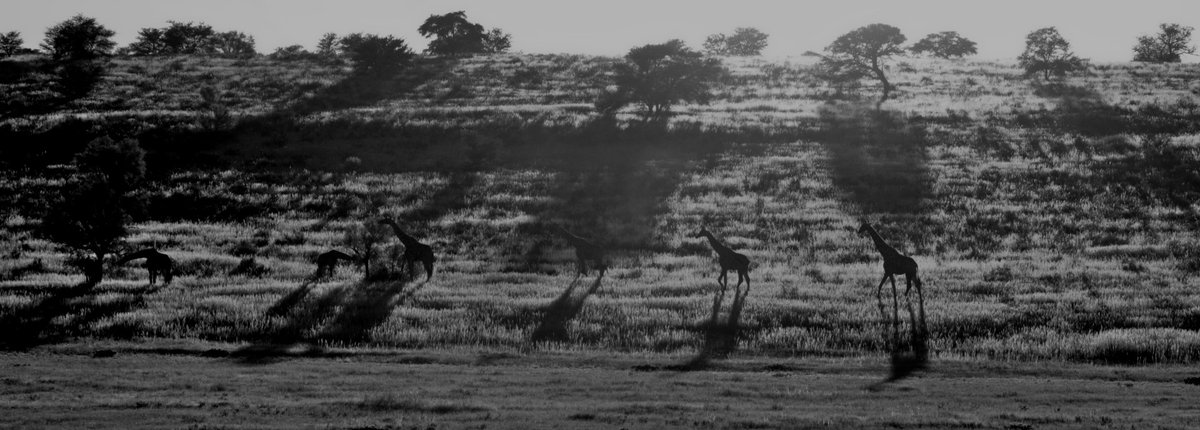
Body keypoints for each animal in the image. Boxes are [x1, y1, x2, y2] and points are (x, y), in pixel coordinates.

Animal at [857, 221, 927, 363]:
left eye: (863, 226)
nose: (858, 231)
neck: (884, 253)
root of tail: (916, 264)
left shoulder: (888, 272)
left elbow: (886, 285)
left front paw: (883, 298)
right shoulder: (889, 272)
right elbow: (885, 285)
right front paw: (885, 299)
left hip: (910, 273)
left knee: (915, 285)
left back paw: (914, 299)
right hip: (909, 274)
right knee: (913, 285)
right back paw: (908, 297)